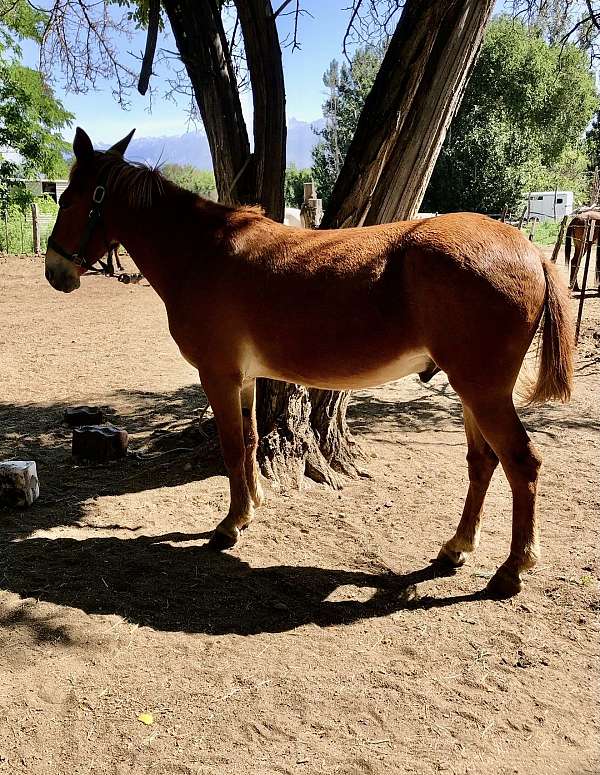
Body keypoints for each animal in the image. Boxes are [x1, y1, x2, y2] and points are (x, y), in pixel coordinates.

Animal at [44, 128, 575, 598]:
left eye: (67, 199)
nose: (56, 272)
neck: (203, 252)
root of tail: (528, 248)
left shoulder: (217, 376)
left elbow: (232, 448)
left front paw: (228, 527)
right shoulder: (243, 379)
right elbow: (250, 441)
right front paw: (250, 508)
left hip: (484, 392)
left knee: (521, 463)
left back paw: (512, 570)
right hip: (470, 393)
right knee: (482, 462)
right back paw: (457, 547)